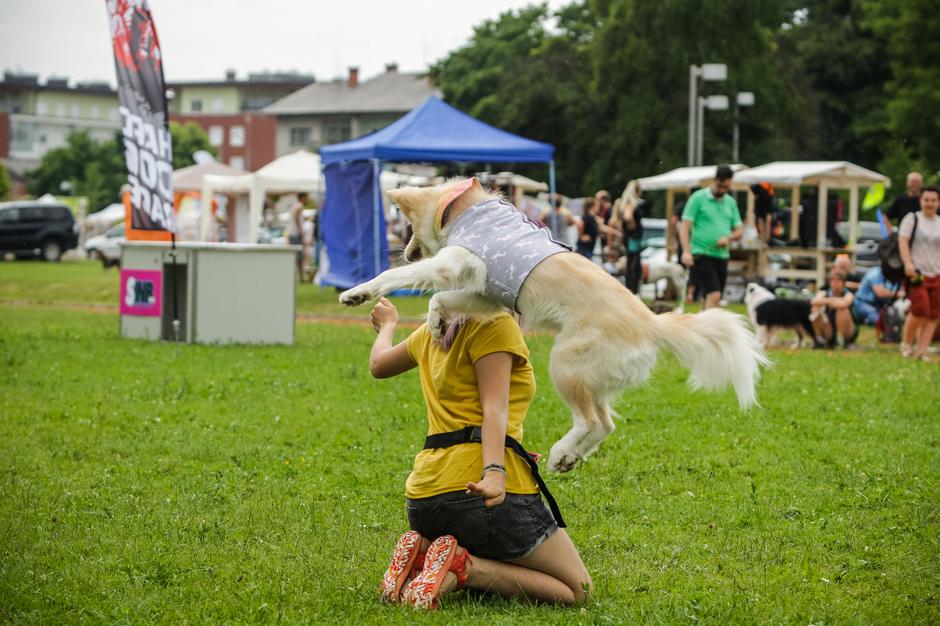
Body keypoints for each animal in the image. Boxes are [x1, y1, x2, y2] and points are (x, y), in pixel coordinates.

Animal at [342, 176, 768, 468]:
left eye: (410, 228)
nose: (408, 252)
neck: (463, 209)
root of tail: (653, 323)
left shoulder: (455, 264)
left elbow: (403, 279)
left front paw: (359, 292)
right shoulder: (487, 295)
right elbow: (443, 298)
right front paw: (435, 319)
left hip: (566, 364)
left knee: (591, 421)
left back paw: (561, 451)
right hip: (594, 376)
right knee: (606, 424)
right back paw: (567, 458)